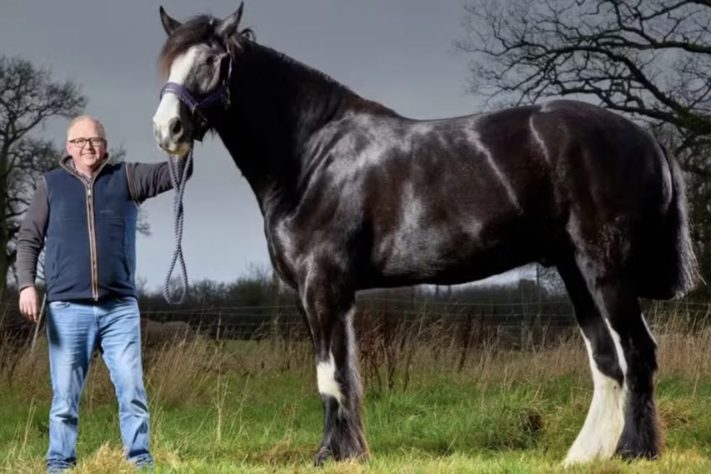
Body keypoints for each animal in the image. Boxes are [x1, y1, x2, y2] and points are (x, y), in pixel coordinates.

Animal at [151, 4, 700, 466]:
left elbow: (329, 375)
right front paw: (351, 453)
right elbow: (345, 374)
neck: (312, 157)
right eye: (168, 63)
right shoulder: (331, 295)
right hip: (575, 272)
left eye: (211, 61)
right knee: (608, 363)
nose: (167, 130)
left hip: (606, 270)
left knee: (638, 353)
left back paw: (634, 451)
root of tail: (646, 136)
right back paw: (583, 456)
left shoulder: (321, 287)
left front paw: (328, 455)